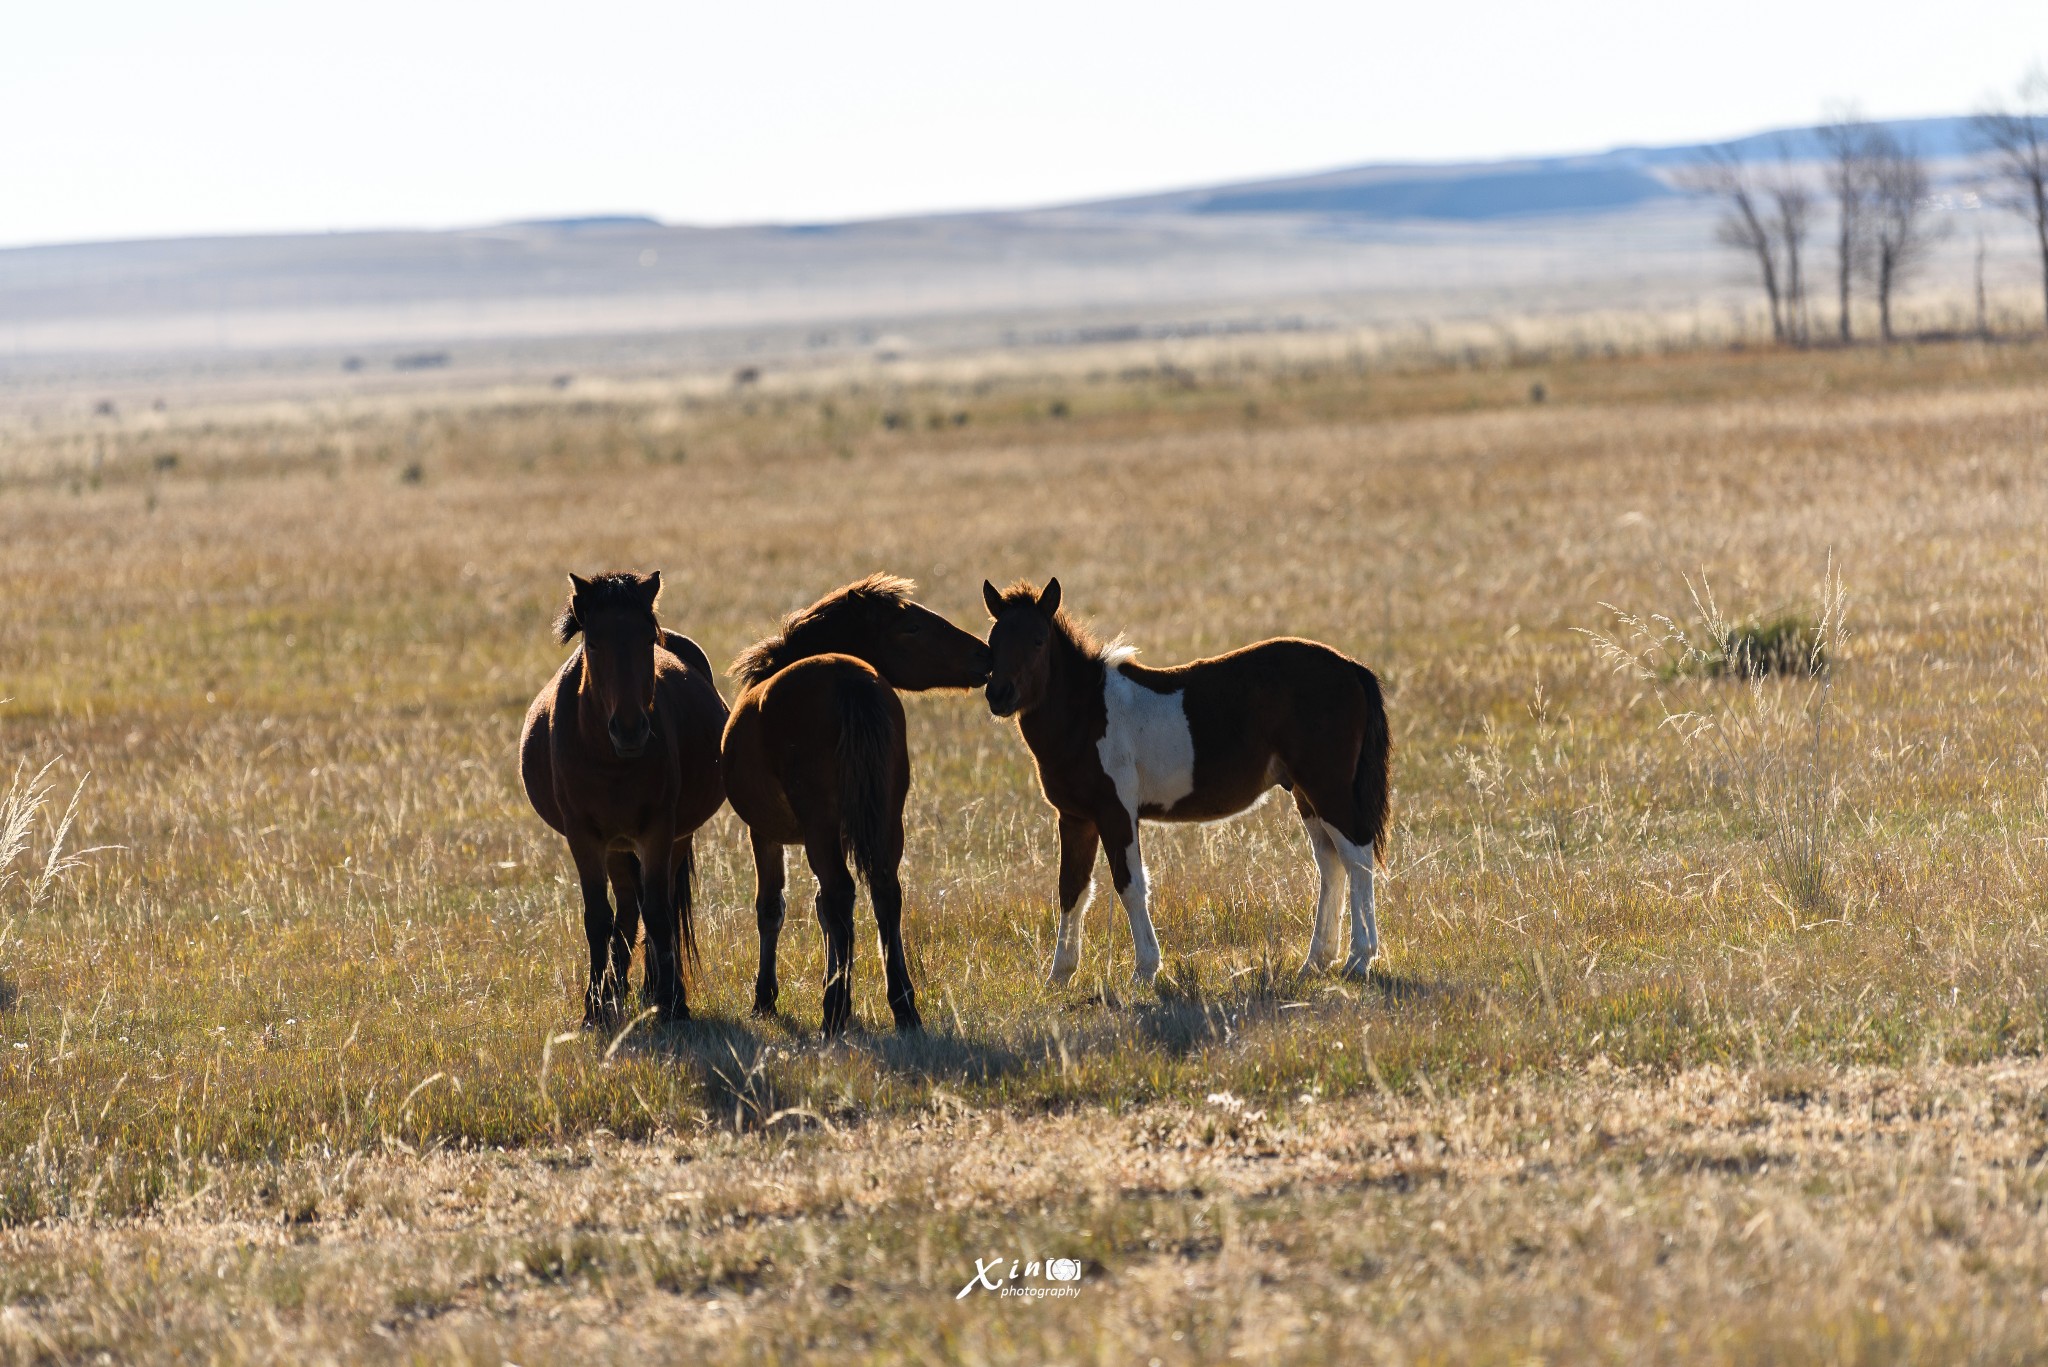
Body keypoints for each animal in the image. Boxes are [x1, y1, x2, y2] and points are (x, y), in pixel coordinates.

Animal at [520, 569, 729, 1024]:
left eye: (647, 640)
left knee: (655, 903)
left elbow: (660, 914)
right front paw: (594, 1008)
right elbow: (599, 917)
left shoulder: (659, 830)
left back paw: (655, 987)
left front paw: (672, 1001)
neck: (609, 760)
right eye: (593, 643)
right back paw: (616, 988)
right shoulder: (583, 835)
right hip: (615, 846)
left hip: (671, 838)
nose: (630, 729)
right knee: (629, 905)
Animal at [729, 577, 991, 1037]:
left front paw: (766, 999)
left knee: (841, 892)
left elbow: (772, 907)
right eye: (912, 627)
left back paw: (834, 1011)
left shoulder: (763, 833)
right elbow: (823, 911)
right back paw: (902, 1007)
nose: (986, 654)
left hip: (821, 826)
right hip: (887, 819)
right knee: (884, 893)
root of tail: (848, 680)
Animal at [978, 577, 1392, 983]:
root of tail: (1351, 667)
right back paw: (1317, 961)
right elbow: (1072, 889)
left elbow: (1130, 884)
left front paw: (1145, 970)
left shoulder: (1116, 812)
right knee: (1331, 862)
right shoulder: (1076, 818)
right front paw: (1059, 976)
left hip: (1328, 788)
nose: (999, 695)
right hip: (1307, 794)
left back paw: (1358, 959)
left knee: (1357, 857)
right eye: (993, 641)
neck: (1087, 713)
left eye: (1037, 640)